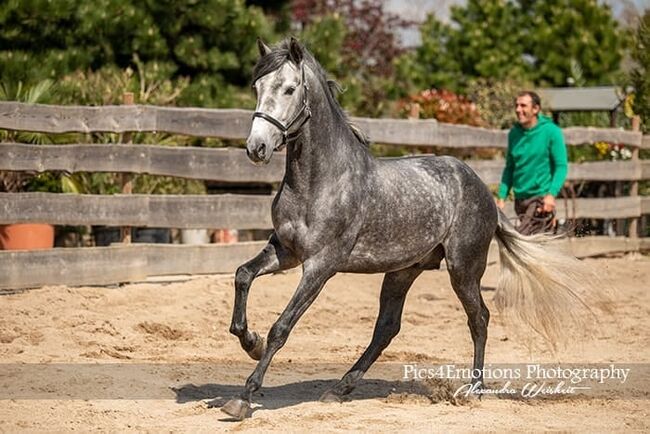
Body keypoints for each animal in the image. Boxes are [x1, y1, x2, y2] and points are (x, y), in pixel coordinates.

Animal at [223, 38, 596, 420]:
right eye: (256, 87)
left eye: (289, 89)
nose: (256, 148)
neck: (320, 181)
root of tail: (481, 189)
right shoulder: (286, 251)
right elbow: (242, 275)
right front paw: (250, 342)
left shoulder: (320, 266)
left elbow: (282, 327)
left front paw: (243, 398)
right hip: (403, 271)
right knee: (386, 329)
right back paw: (339, 389)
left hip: (463, 269)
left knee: (479, 318)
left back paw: (473, 391)